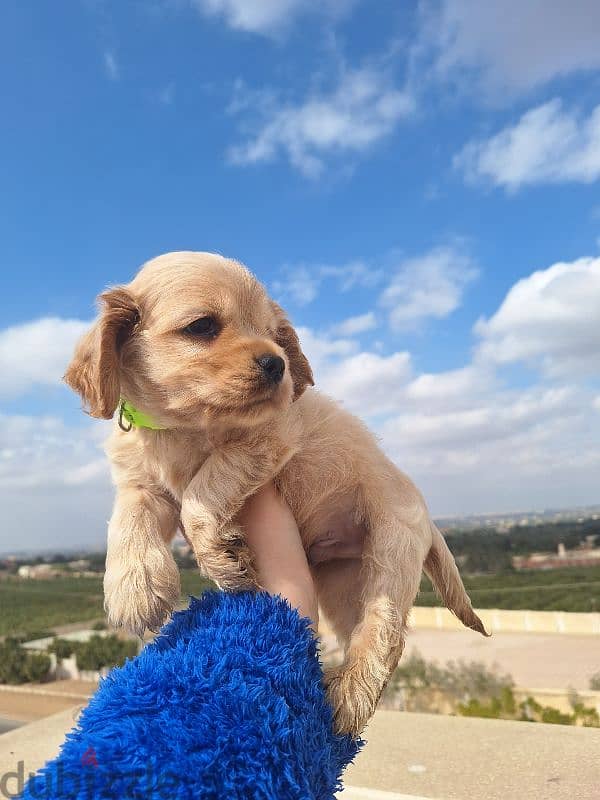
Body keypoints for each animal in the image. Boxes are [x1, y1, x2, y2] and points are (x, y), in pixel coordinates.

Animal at [65, 252, 488, 736]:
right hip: (343, 584)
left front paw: (220, 560)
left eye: (275, 336)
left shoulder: (268, 438)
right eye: (202, 326)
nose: (277, 364)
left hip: (392, 551)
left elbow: (201, 490)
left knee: (385, 633)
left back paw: (350, 695)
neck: (181, 428)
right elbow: (127, 519)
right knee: (361, 627)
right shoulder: (142, 484)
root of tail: (428, 521)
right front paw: (134, 588)